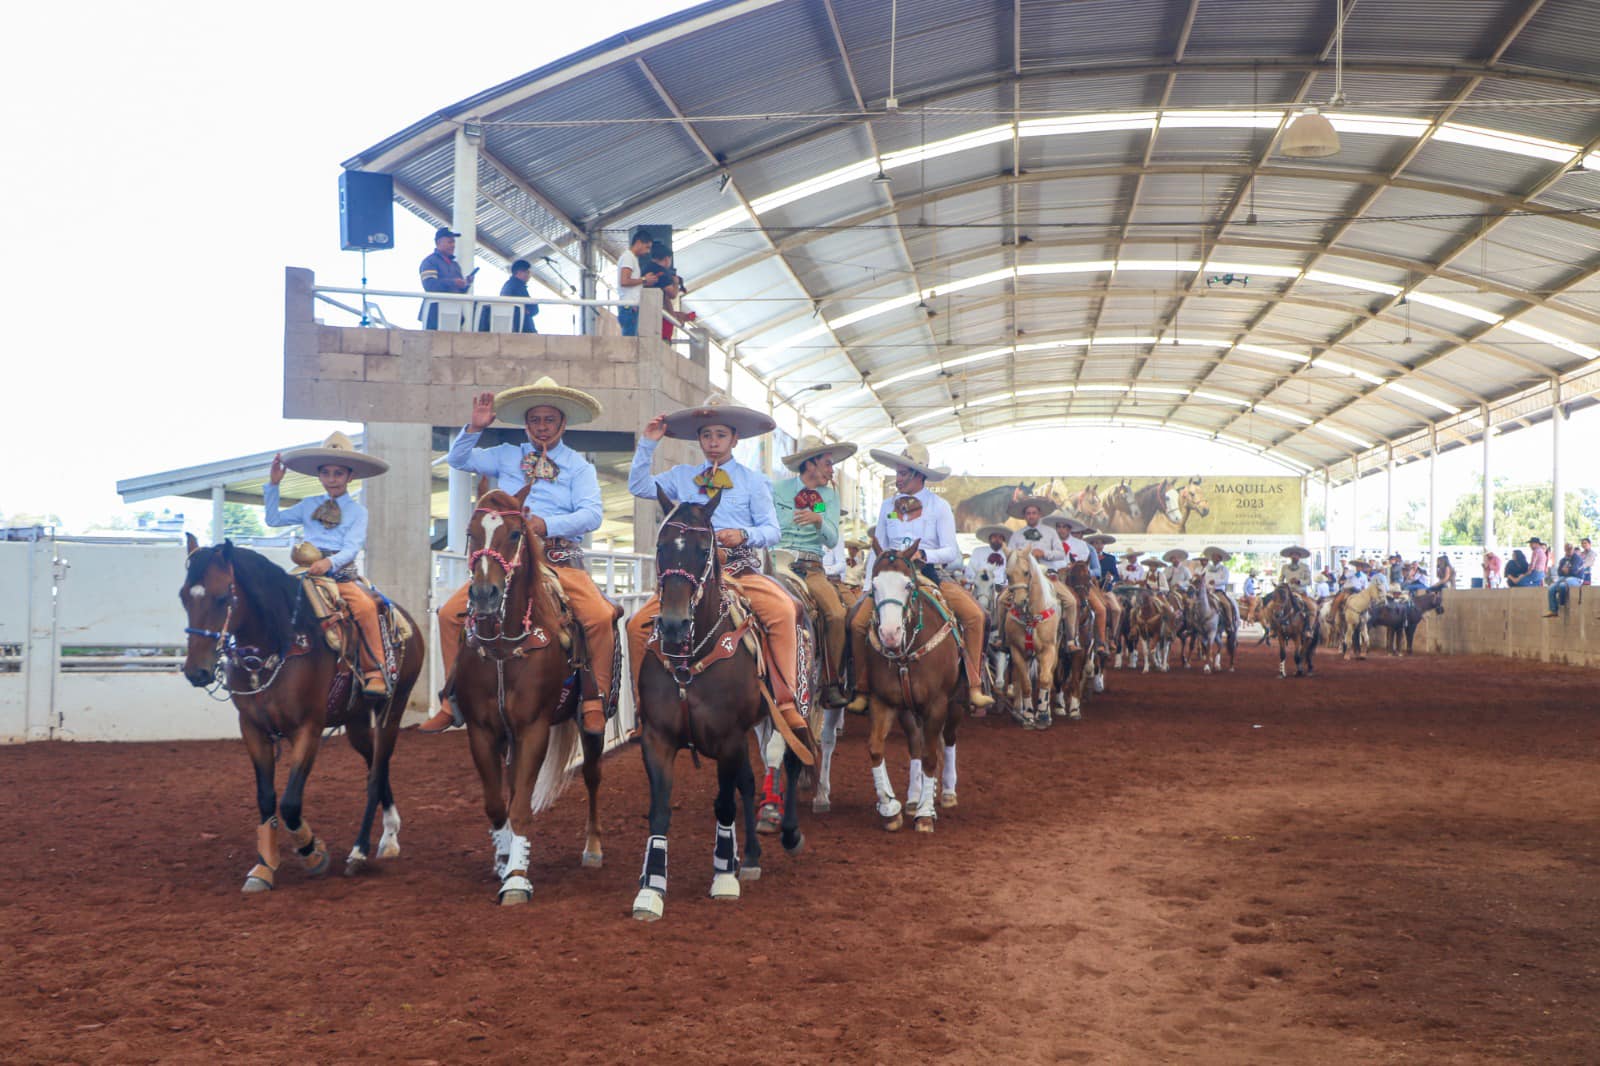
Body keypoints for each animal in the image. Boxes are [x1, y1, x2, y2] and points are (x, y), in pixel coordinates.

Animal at [180, 534, 425, 889]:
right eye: (184, 596)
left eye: (224, 596)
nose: (196, 672)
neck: (281, 642)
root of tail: (408, 622)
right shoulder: (252, 729)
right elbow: (266, 798)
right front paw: (264, 866)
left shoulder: (308, 729)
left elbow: (290, 802)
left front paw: (313, 852)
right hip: (355, 721)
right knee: (375, 764)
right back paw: (390, 834)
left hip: (391, 709)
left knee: (376, 772)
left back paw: (359, 851)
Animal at [457, 486, 604, 902]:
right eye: (471, 532)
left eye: (514, 533)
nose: (485, 594)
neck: (503, 647)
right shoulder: (482, 731)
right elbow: (496, 804)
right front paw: (504, 860)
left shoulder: (534, 728)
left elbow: (521, 805)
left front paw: (518, 879)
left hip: (592, 727)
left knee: (592, 776)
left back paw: (592, 849)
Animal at [630, 489, 812, 921]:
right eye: (661, 548)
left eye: (703, 550)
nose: (674, 624)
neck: (691, 659)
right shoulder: (657, 740)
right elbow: (660, 811)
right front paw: (652, 888)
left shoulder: (728, 739)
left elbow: (725, 804)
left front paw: (723, 879)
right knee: (749, 781)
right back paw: (750, 858)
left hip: (792, 707)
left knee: (792, 760)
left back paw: (788, 835)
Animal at [864, 541, 960, 832]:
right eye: (874, 585)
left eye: (907, 585)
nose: (889, 634)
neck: (905, 654)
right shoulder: (882, 701)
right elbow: (876, 748)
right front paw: (890, 809)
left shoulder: (937, 703)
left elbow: (931, 756)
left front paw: (926, 814)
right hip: (908, 710)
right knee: (917, 744)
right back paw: (913, 798)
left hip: (955, 702)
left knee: (947, 738)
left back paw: (947, 793)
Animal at [998, 547, 1062, 729]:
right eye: (1008, 574)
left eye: (1026, 572)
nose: (1019, 602)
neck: (1030, 616)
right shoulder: (1017, 651)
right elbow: (1025, 683)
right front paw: (1027, 716)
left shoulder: (1048, 650)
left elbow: (1045, 679)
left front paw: (1043, 715)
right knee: (1018, 678)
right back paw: (1018, 711)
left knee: (1048, 676)